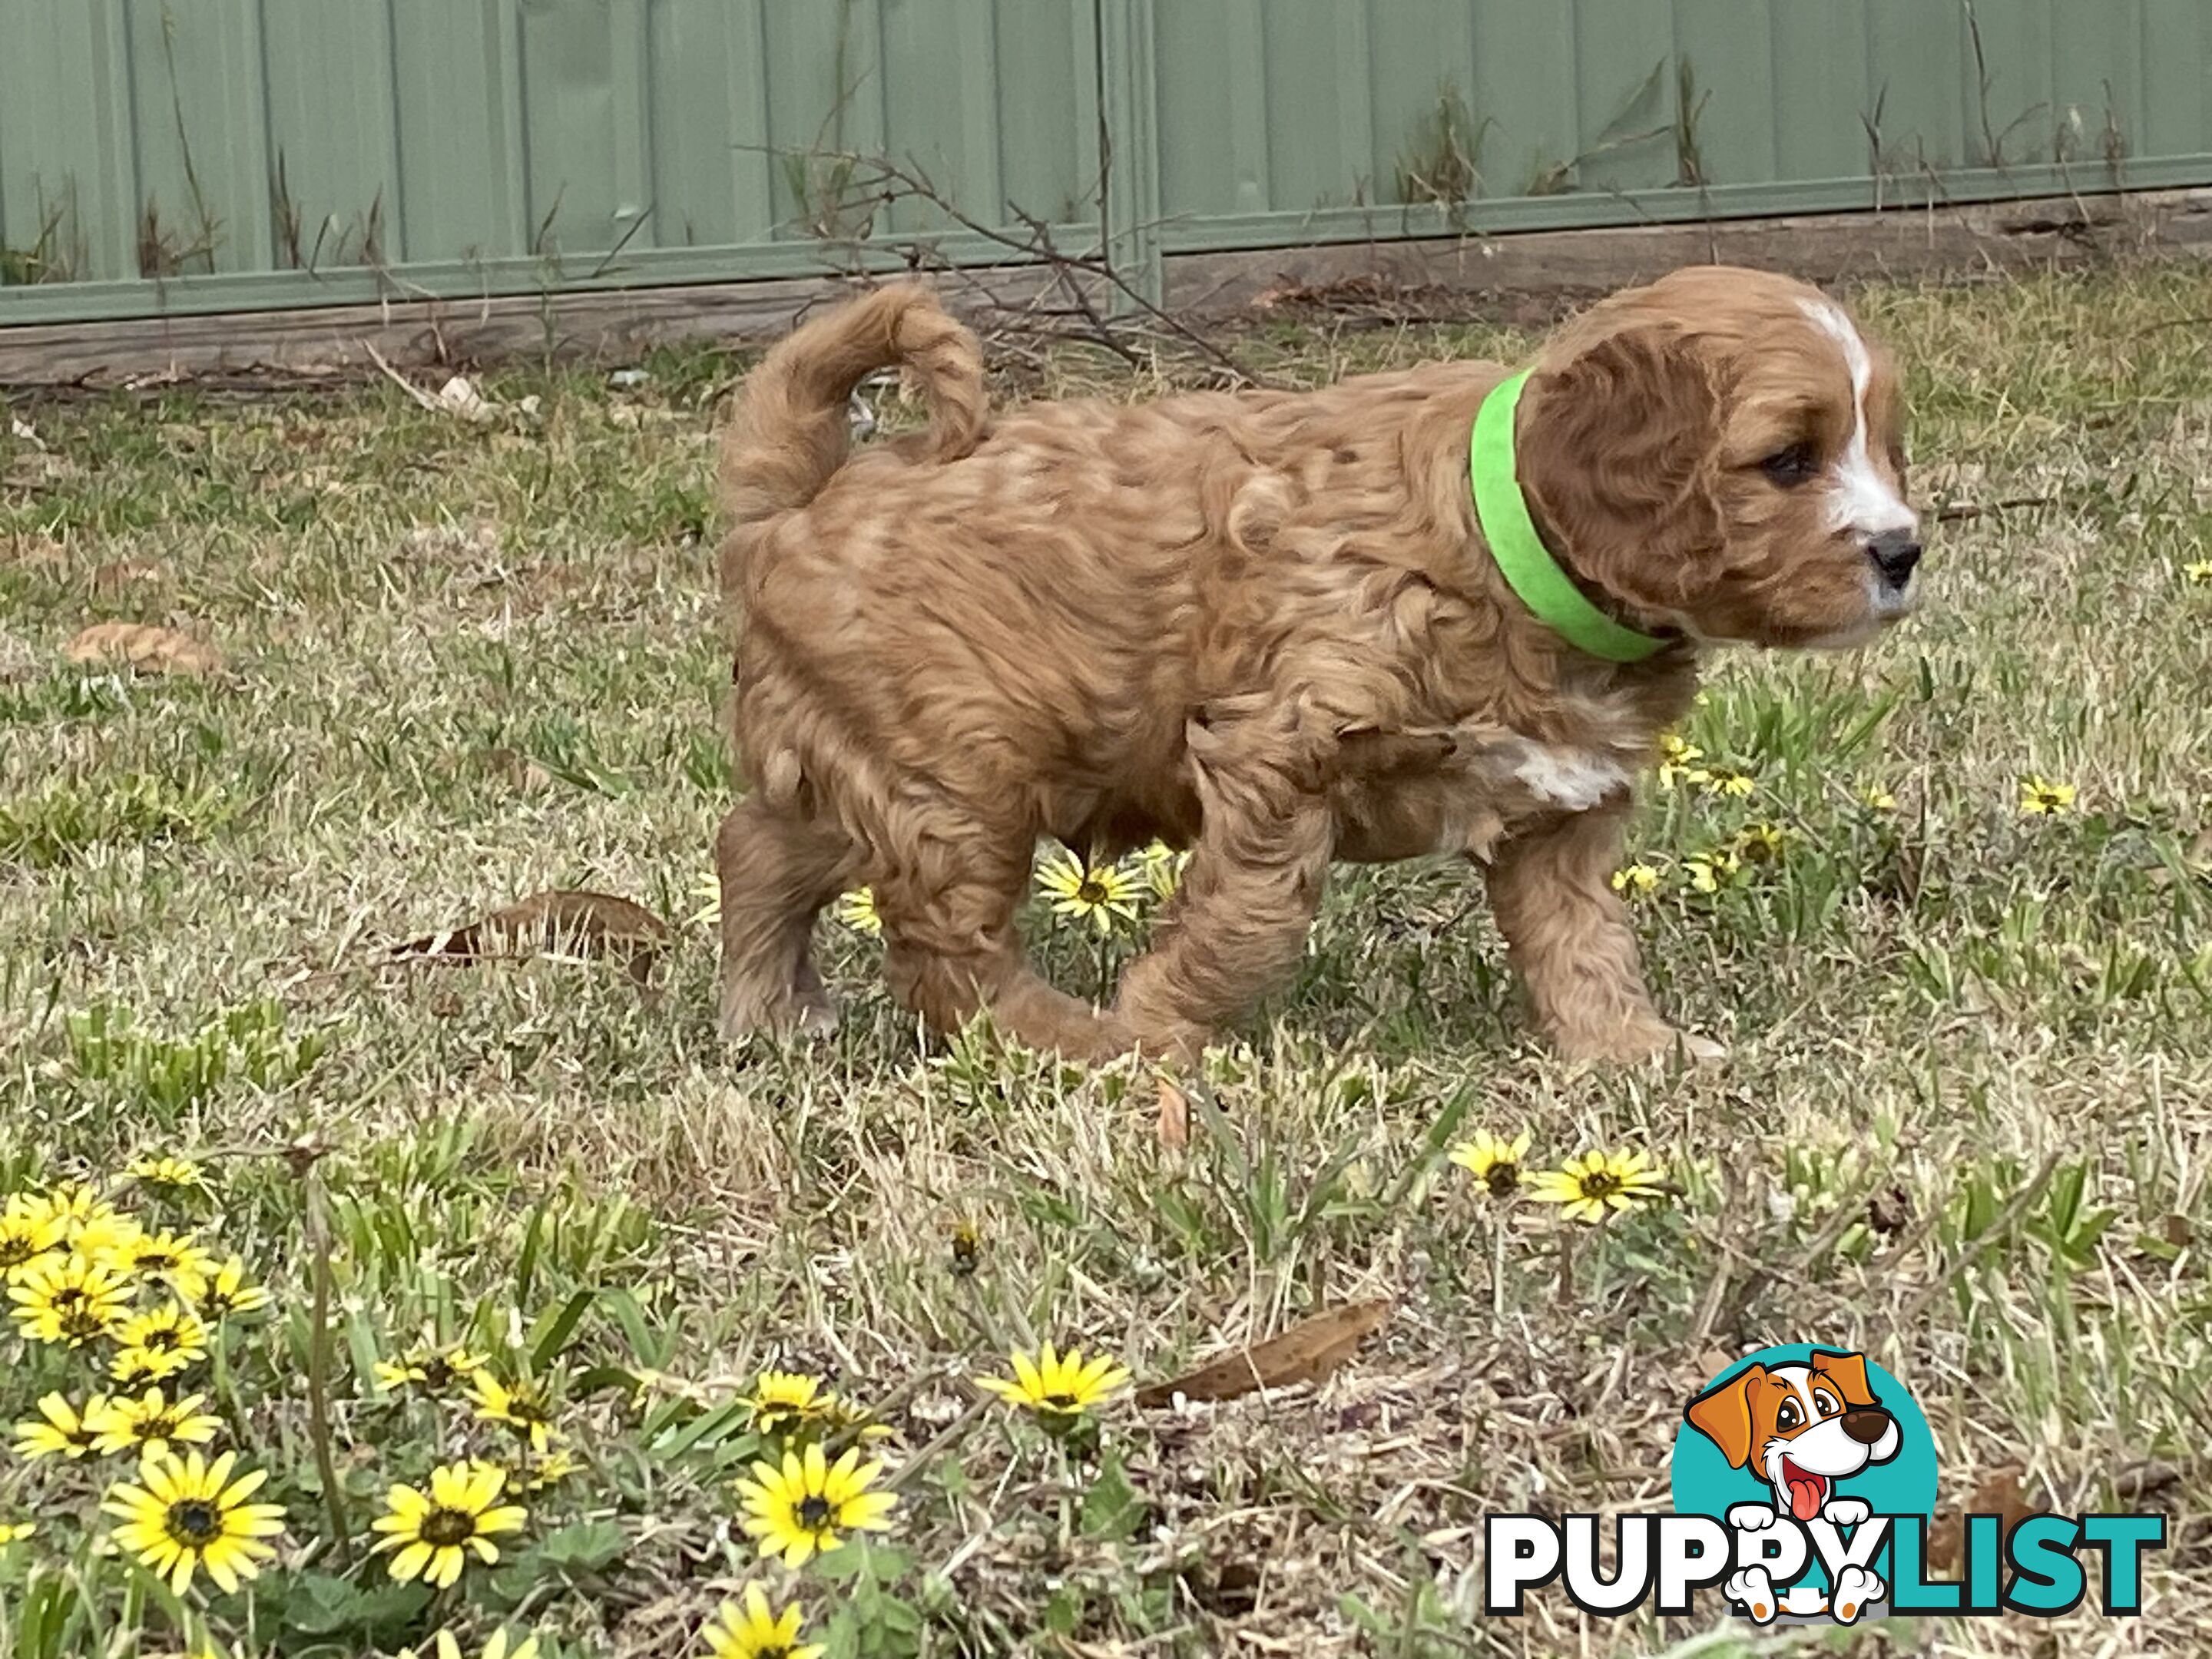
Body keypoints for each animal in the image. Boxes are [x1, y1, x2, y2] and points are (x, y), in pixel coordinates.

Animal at [712, 267, 1919, 1057]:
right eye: (1789, 460)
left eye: (1885, 446)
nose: (1905, 551)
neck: (1501, 544)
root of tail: (804, 496)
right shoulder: (1279, 749)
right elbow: (1251, 922)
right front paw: (1161, 1021)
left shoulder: (1563, 810)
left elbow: (1582, 940)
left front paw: (1630, 1052)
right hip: (961, 772)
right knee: (941, 945)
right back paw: (1080, 1046)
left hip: (869, 760)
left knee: (763, 850)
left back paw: (768, 1014)